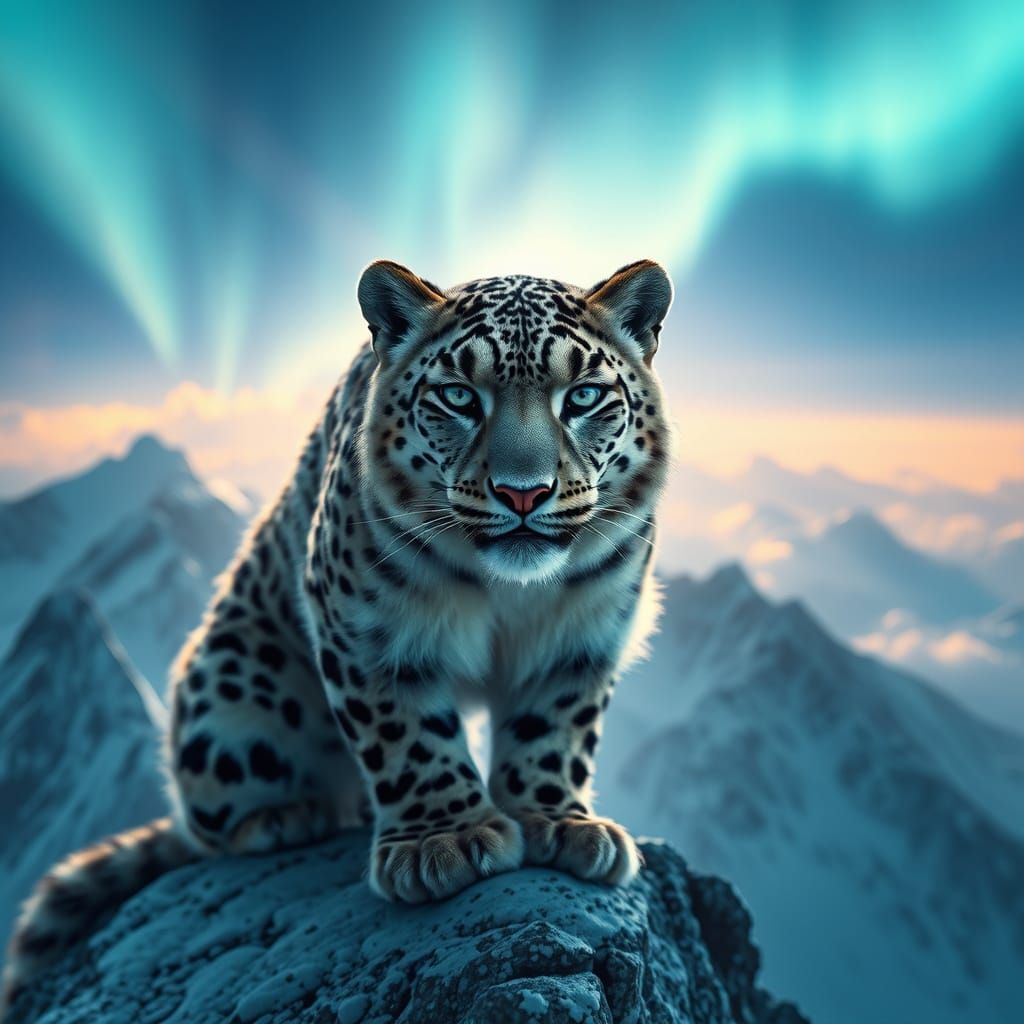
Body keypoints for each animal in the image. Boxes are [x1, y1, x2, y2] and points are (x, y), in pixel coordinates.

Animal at [2, 258, 673, 1009]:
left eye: (583, 396)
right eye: (458, 396)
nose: (523, 492)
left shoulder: (586, 632)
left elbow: (557, 727)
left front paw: (555, 820)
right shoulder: (368, 626)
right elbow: (406, 734)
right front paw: (446, 839)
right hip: (229, 697)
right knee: (208, 825)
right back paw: (292, 815)